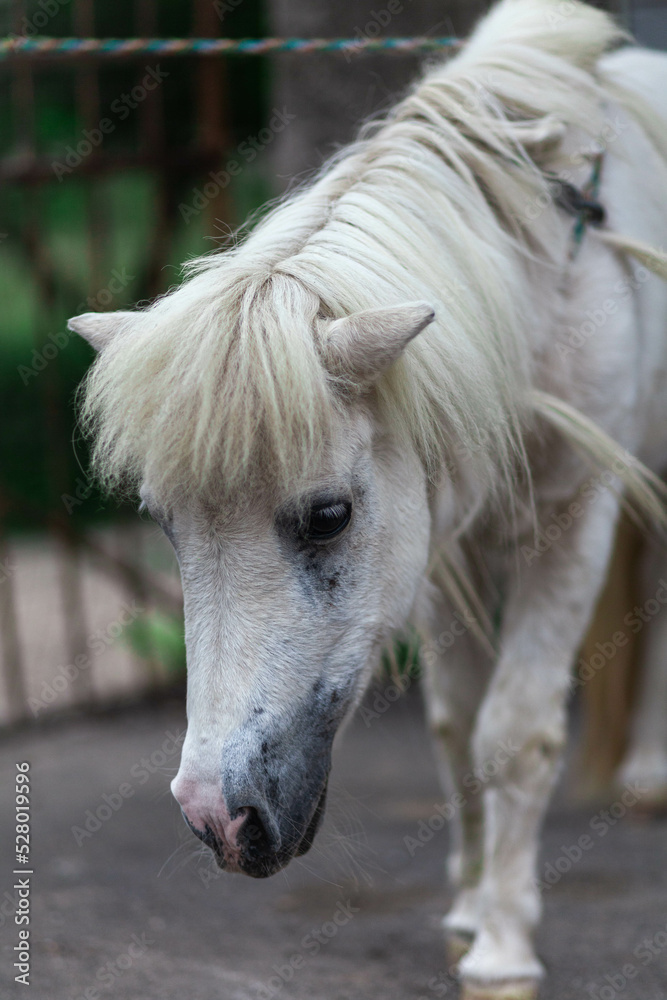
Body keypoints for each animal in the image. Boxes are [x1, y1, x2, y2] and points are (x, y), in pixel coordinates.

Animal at [69, 1, 667, 996]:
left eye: (326, 516)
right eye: (164, 525)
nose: (217, 819)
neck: (539, 280)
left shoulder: (569, 519)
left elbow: (513, 733)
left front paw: (502, 949)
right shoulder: (440, 538)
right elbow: (457, 726)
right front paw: (467, 911)